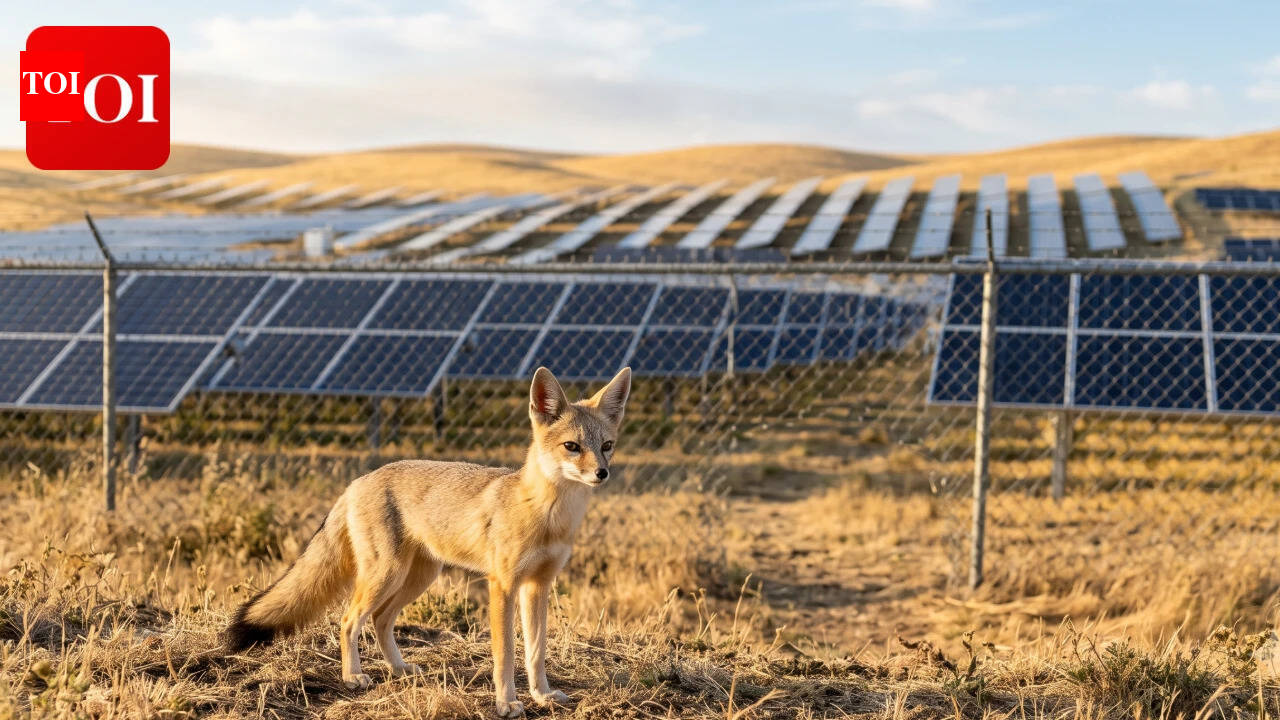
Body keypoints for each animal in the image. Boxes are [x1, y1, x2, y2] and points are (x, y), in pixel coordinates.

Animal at [224, 366, 632, 717]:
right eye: (572, 446)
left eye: (607, 445)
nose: (602, 473)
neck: (546, 515)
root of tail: (357, 481)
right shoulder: (502, 585)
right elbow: (505, 654)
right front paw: (506, 703)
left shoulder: (538, 585)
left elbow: (535, 651)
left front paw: (542, 695)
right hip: (386, 575)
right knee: (349, 619)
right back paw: (352, 676)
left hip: (418, 577)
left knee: (380, 620)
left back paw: (400, 668)